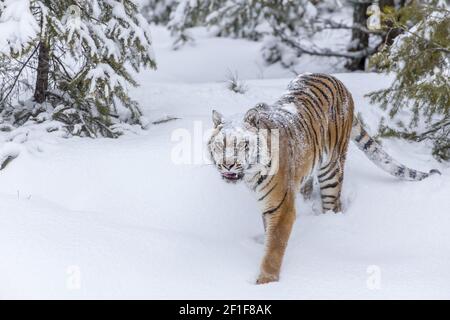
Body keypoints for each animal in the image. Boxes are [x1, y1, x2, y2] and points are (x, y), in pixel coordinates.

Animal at [207, 73, 440, 284]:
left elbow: (274, 247)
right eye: (220, 145)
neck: (251, 175)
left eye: (242, 145)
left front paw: (266, 282)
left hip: (331, 169)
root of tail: (337, 80)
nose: (227, 164)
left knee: (333, 204)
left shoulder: (280, 207)